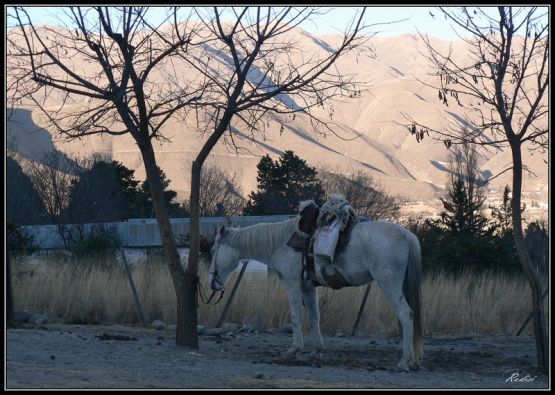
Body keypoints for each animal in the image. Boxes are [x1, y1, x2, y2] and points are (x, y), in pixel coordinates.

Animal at [210, 212, 426, 372]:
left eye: (213, 250)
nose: (213, 283)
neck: (281, 242)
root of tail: (406, 234)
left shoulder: (292, 285)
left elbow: (296, 317)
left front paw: (293, 349)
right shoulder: (307, 288)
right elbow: (314, 318)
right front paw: (316, 351)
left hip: (389, 284)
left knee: (406, 315)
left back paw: (404, 362)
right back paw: (414, 361)